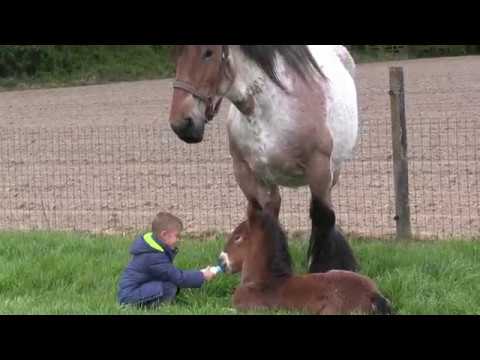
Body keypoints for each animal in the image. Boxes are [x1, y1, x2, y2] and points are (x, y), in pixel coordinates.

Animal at [171, 46, 358, 274]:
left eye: (209, 53)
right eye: (176, 54)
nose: (182, 124)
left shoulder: (319, 169)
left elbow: (323, 217)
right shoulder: (246, 173)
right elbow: (262, 218)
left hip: (332, 172)